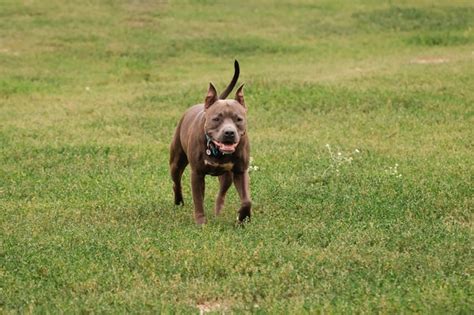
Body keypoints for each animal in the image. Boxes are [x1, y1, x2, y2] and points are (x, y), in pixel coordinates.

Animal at [170, 61, 252, 225]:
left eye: (239, 119)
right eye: (216, 118)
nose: (229, 133)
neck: (216, 150)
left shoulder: (240, 171)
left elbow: (247, 200)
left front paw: (243, 217)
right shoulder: (197, 174)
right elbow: (198, 200)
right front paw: (201, 222)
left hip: (227, 176)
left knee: (221, 194)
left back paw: (218, 212)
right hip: (176, 163)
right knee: (177, 183)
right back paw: (178, 202)